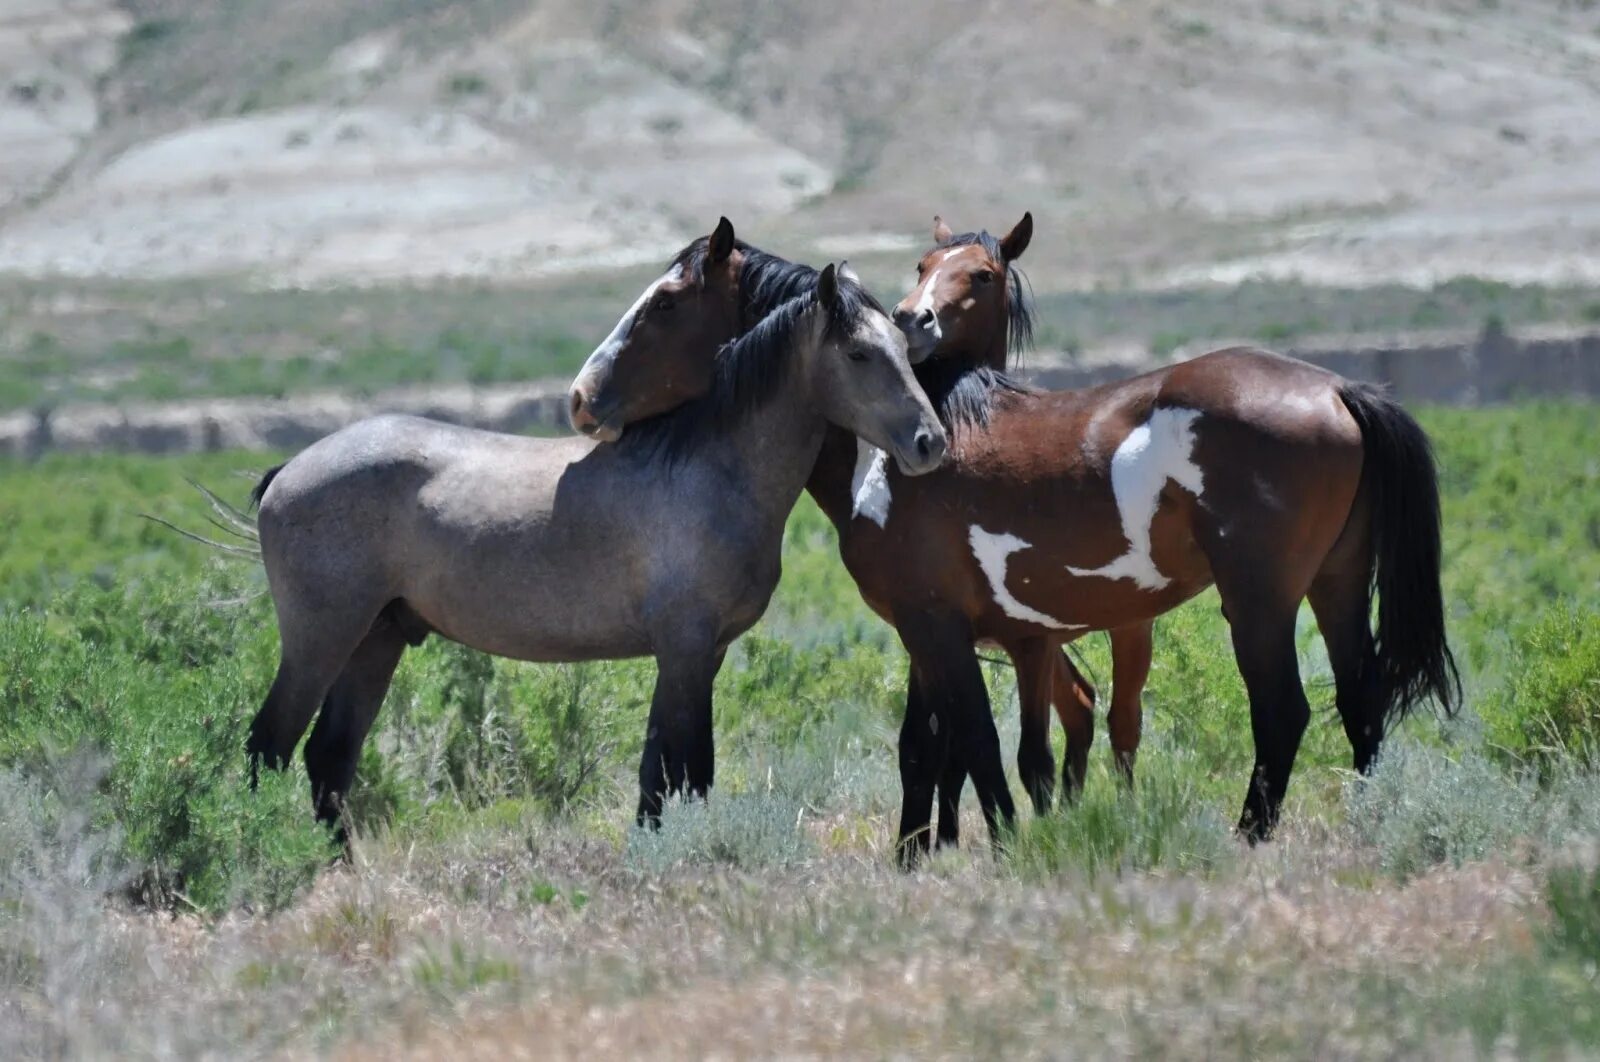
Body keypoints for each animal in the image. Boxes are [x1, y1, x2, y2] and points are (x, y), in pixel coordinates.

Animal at [243, 263, 940, 831]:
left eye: (902, 346)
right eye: (858, 353)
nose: (929, 441)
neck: (709, 469)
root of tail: (290, 470)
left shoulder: (706, 653)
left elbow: (685, 774)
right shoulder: (683, 650)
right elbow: (669, 774)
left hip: (377, 639)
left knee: (328, 759)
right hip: (320, 639)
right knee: (268, 747)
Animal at [569, 214, 1459, 863]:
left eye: (665, 303)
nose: (581, 396)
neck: (900, 436)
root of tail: (1337, 388)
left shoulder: (936, 626)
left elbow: (972, 742)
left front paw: (994, 846)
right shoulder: (952, 633)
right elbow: (933, 748)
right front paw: (919, 854)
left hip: (1260, 601)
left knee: (1283, 713)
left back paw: (1247, 840)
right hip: (1335, 586)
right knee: (1360, 702)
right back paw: (1371, 823)